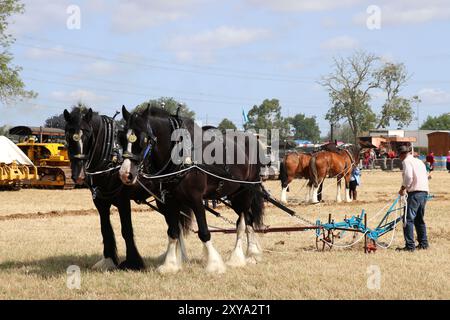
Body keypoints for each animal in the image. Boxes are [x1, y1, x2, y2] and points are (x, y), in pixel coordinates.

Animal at [63, 107, 190, 270]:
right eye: (67, 135)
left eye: (88, 134)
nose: (78, 174)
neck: (111, 157)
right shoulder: (100, 201)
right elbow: (105, 229)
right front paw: (108, 260)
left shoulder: (123, 200)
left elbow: (126, 230)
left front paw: (133, 262)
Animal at [119, 106, 266, 274]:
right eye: (122, 138)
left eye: (143, 139)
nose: (125, 174)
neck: (182, 155)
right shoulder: (169, 201)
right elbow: (173, 232)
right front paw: (170, 264)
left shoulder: (196, 199)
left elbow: (204, 232)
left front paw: (214, 265)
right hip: (234, 195)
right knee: (248, 219)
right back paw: (251, 254)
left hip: (246, 192)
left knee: (242, 223)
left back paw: (240, 258)